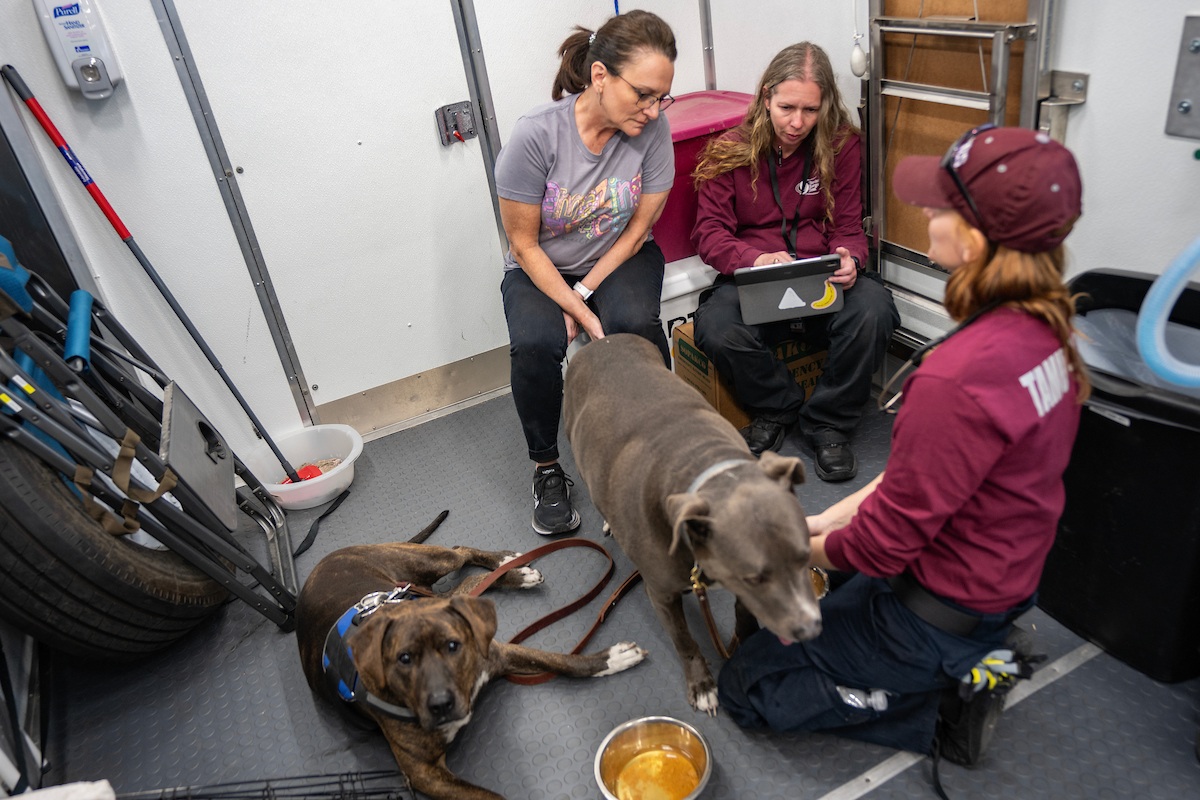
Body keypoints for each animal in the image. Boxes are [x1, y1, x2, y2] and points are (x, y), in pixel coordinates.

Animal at [297, 513, 648, 800]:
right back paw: (514, 573)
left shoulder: (499, 653)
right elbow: (490, 796)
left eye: (453, 646)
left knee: (461, 552)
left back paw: (509, 565)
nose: (441, 704)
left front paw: (610, 660)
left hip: (432, 563)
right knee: (466, 581)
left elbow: (562, 661)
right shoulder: (427, 775)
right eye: (403, 659)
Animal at [564, 331, 825, 714]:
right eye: (755, 577)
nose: (810, 628)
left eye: (805, 557)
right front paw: (701, 684)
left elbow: (745, 614)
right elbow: (685, 642)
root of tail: (600, 341)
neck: (705, 468)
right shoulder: (662, 594)